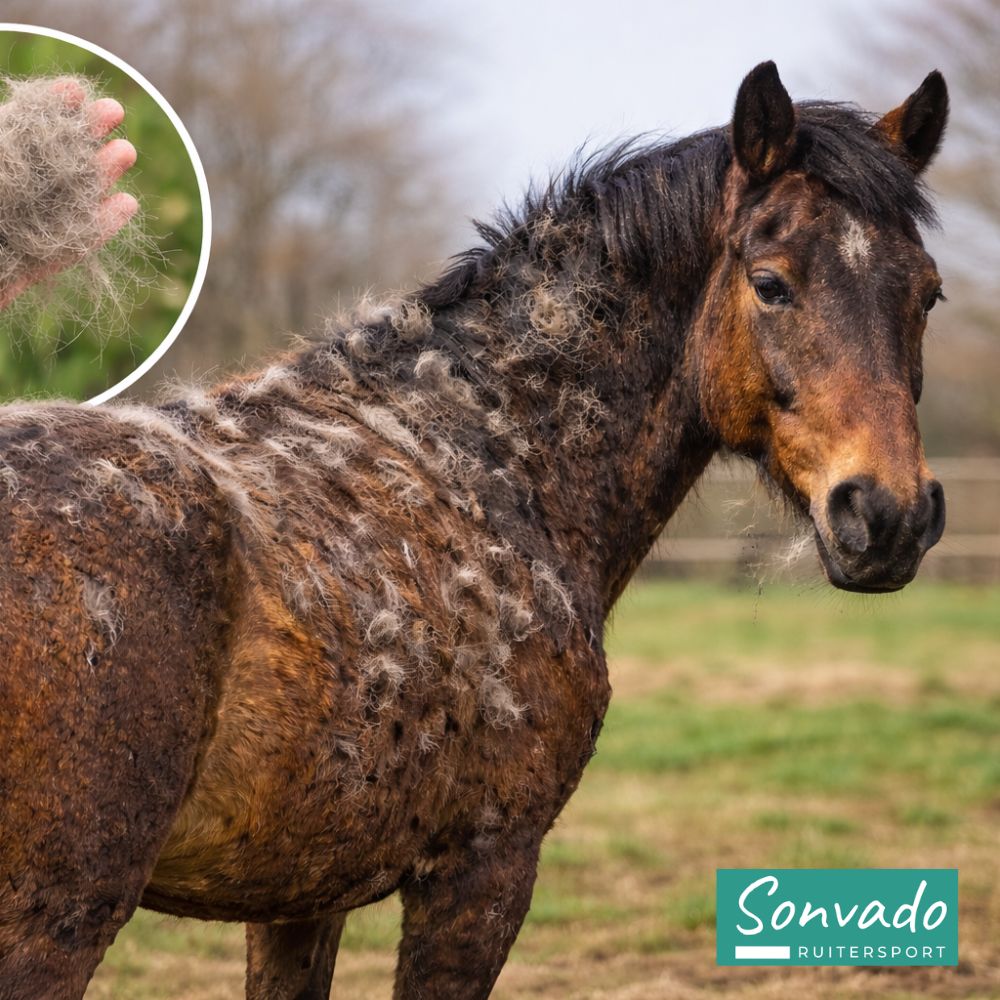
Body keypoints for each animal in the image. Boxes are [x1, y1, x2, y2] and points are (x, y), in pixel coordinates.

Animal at [0, 61, 948, 998]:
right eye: (771, 283)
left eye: (928, 293)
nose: (888, 514)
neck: (486, 454)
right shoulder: (483, 870)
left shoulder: (302, 892)